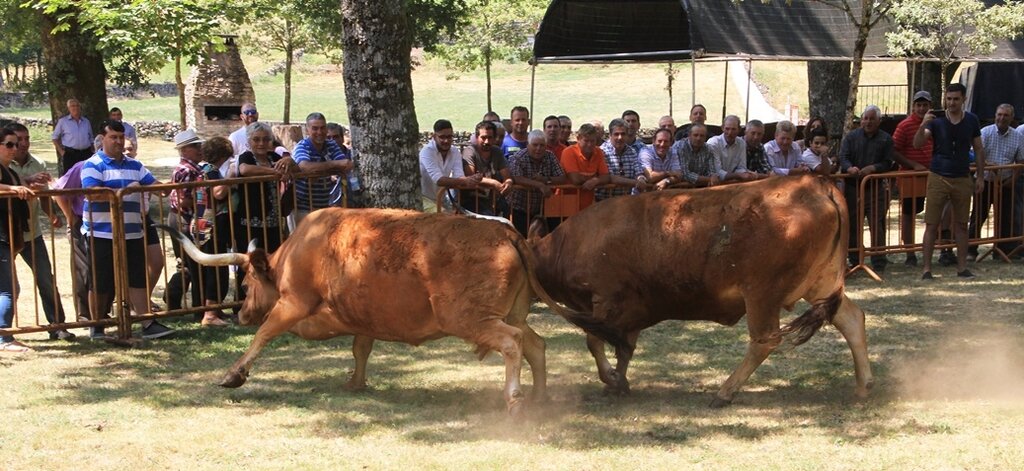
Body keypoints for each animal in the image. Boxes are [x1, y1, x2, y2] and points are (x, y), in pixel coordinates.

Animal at [164, 207, 602, 413]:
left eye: (246, 285)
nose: (240, 314)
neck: (301, 250)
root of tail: (506, 231)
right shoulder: (362, 317)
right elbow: (361, 349)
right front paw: (356, 382)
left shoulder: (292, 304)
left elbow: (264, 334)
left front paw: (233, 374)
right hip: (510, 314)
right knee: (535, 344)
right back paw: (540, 396)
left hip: (471, 319)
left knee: (512, 344)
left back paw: (514, 400)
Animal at [528, 175, 872, 407]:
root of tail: (817, 184)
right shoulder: (630, 314)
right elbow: (624, 348)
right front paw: (619, 383)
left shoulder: (606, 301)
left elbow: (595, 342)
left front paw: (611, 378)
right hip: (821, 284)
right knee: (852, 319)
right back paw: (864, 384)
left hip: (761, 293)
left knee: (765, 341)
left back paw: (725, 392)